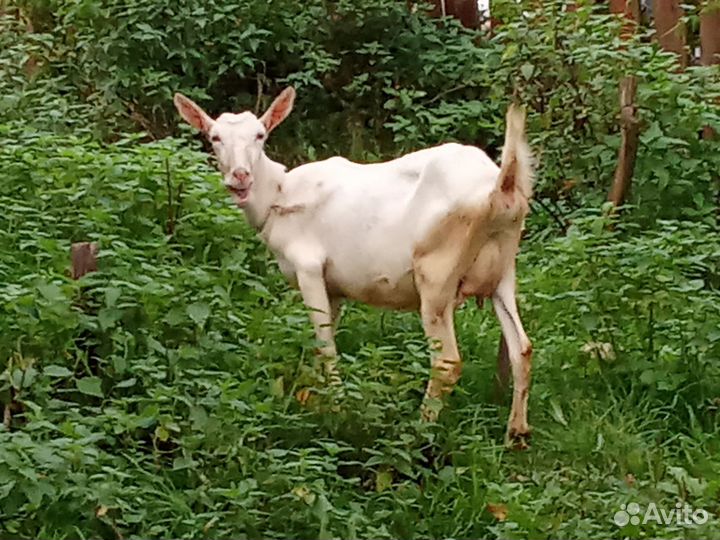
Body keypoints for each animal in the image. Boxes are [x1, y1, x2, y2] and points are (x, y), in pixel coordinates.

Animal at [174, 88, 534, 443]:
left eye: (260, 135)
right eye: (215, 137)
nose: (240, 176)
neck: (277, 197)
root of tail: (502, 188)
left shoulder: (308, 267)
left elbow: (325, 345)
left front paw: (336, 410)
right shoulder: (334, 287)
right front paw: (310, 396)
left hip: (436, 273)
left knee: (446, 361)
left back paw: (419, 432)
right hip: (504, 270)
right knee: (522, 347)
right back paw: (516, 434)